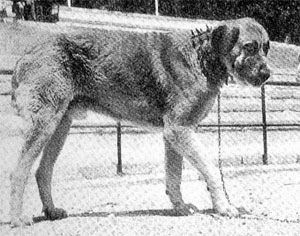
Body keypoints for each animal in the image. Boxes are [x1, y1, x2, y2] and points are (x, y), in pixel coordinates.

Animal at [9, 17, 270, 227]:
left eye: (266, 48)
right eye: (249, 47)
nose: (267, 74)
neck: (202, 56)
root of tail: (27, 54)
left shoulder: (173, 135)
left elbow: (174, 175)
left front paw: (180, 207)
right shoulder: (179, 130)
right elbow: (211, 170)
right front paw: (223, 207)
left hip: (60, 126)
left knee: (43, 171)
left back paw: (51, 211)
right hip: (44, 124)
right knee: (19, 171)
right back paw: (17, 218)